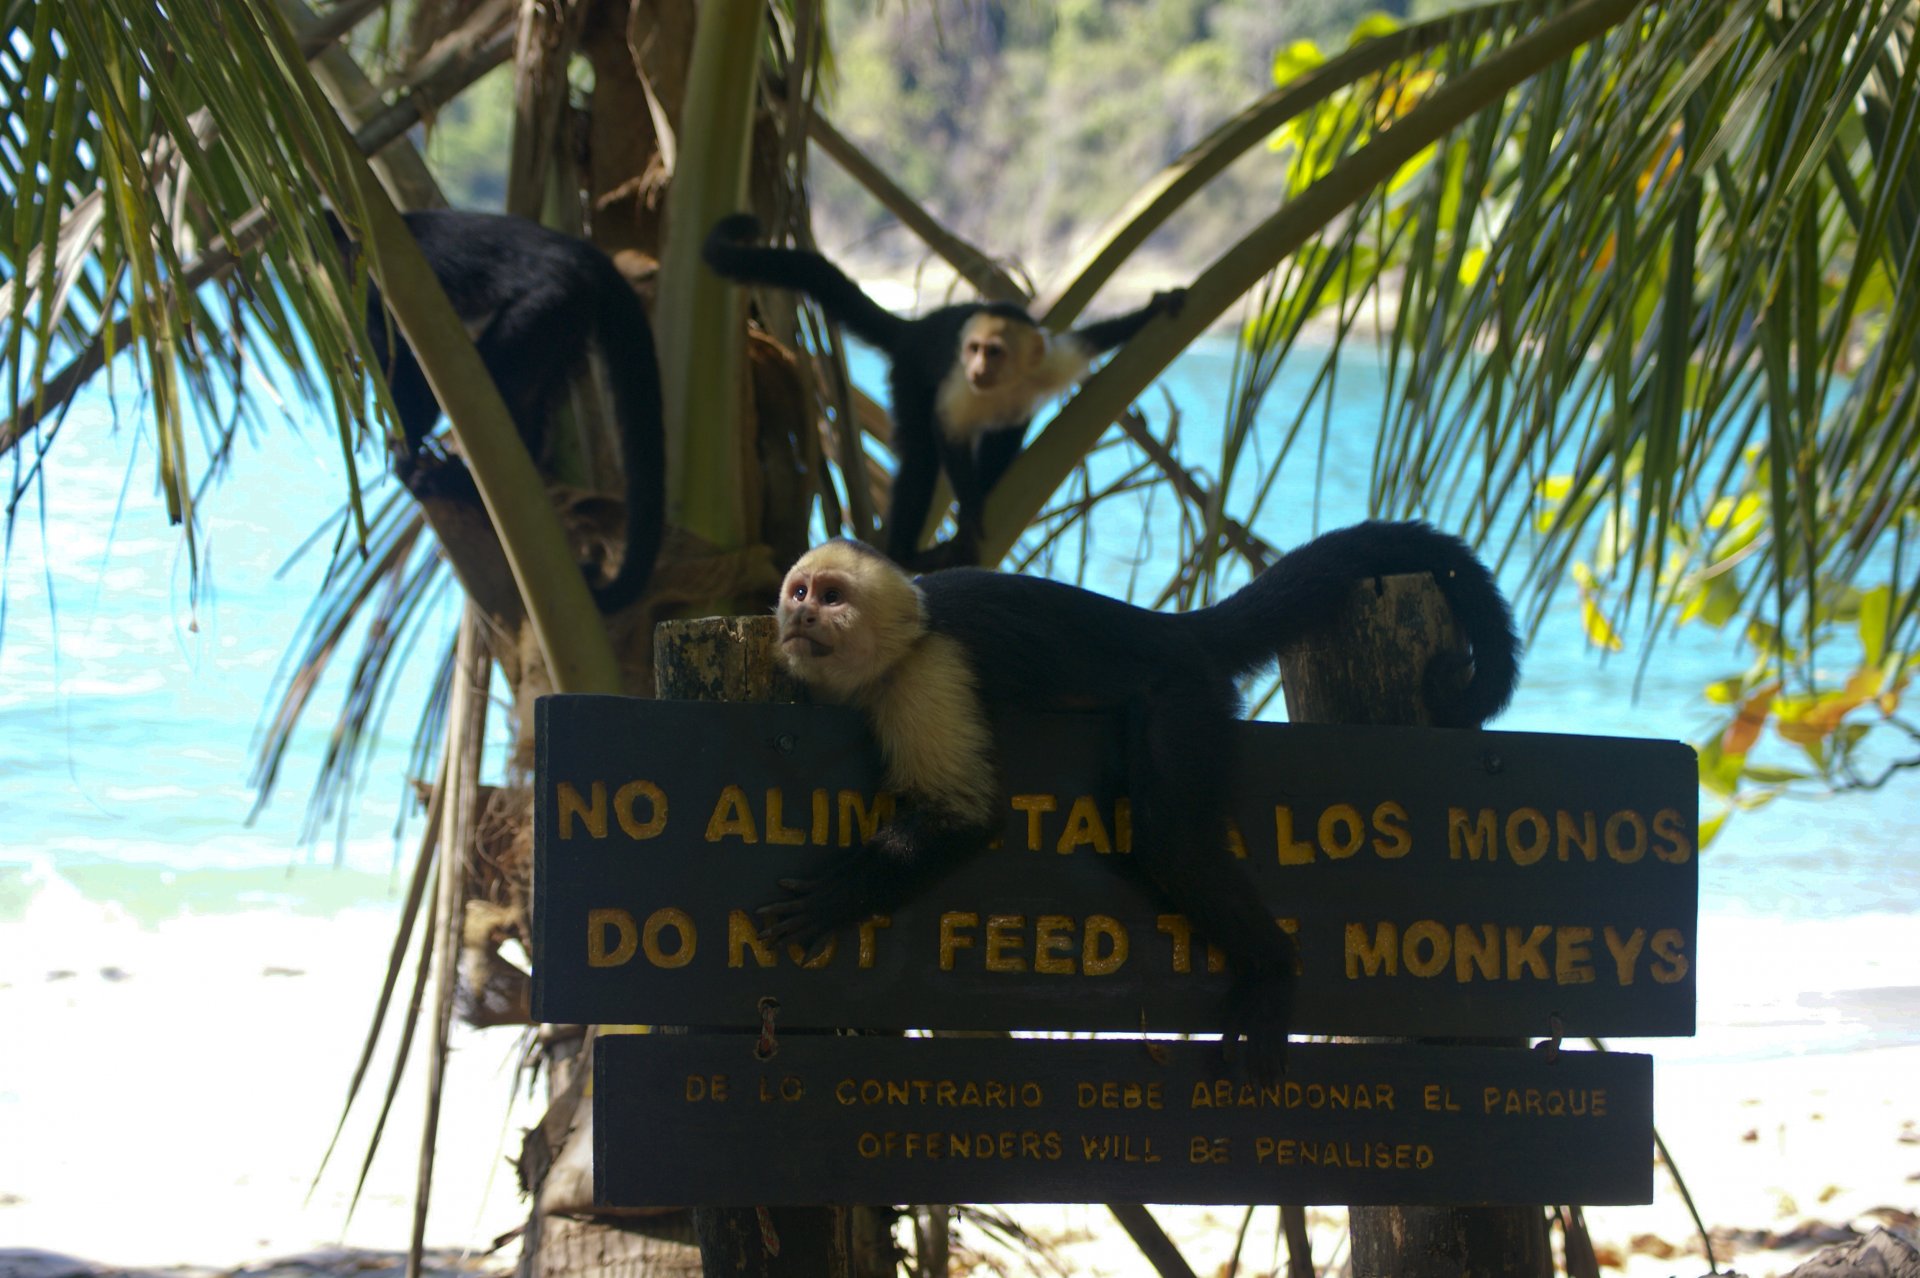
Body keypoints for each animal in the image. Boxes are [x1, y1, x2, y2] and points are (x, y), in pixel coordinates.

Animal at [326, 209, 664, 614]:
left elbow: (401, 368)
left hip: (552, 301)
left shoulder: (363, 277)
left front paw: (404, 448)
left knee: (496, 383)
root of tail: (592, 257)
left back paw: (461, 483)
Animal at [706, 213, 1182, 568]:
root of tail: (915, 328)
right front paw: (969, 513)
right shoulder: (960, 385)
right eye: (972, 350)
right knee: (921, 455)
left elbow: (1093, 339)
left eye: (994, 352)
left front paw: (1155, 308)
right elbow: (945, 431)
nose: (977, 367)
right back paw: (904, 555)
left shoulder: (1049, 363)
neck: (1004, 382)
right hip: (910, 371)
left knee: (1006, 433)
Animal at [756, 521, 1520, 1066]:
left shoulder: (930, 672)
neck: (898, 646)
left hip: (1183, 694)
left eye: (833, 597)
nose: (801, 618)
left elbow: (963, 814)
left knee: (1172, 843)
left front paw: (836, 898)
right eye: (800, 592)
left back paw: (1273, 966)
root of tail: (1167, 625)